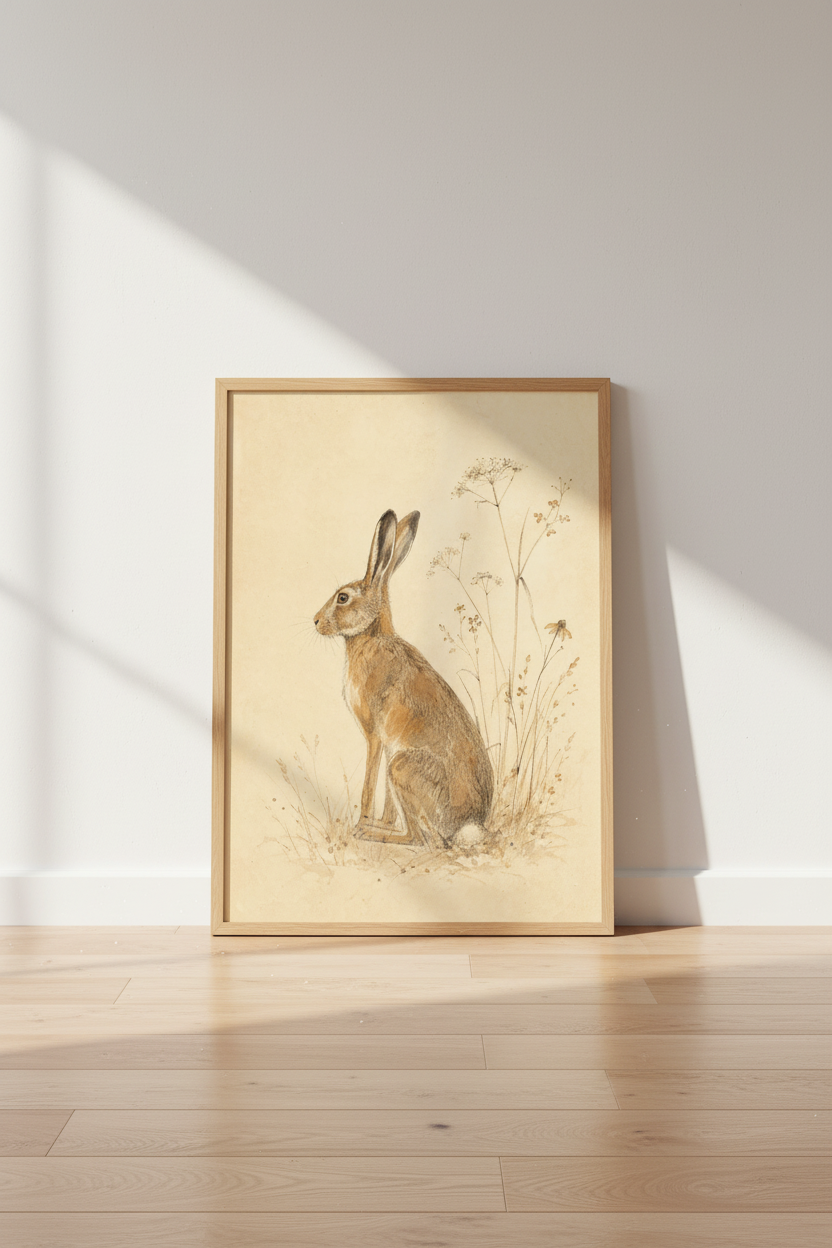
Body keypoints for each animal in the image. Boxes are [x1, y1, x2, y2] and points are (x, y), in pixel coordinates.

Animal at [314, 509, 493, 846]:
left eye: (343, 598)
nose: (316, 621)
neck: (371, 637)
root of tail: (468, 825)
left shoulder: (374, 734)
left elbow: (369, 784)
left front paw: (363, 821)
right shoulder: (387, 743)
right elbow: (386, 800)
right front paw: (382, 821)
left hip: (403, 768)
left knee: (422, 840)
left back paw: (370, 833)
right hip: (399, 767)